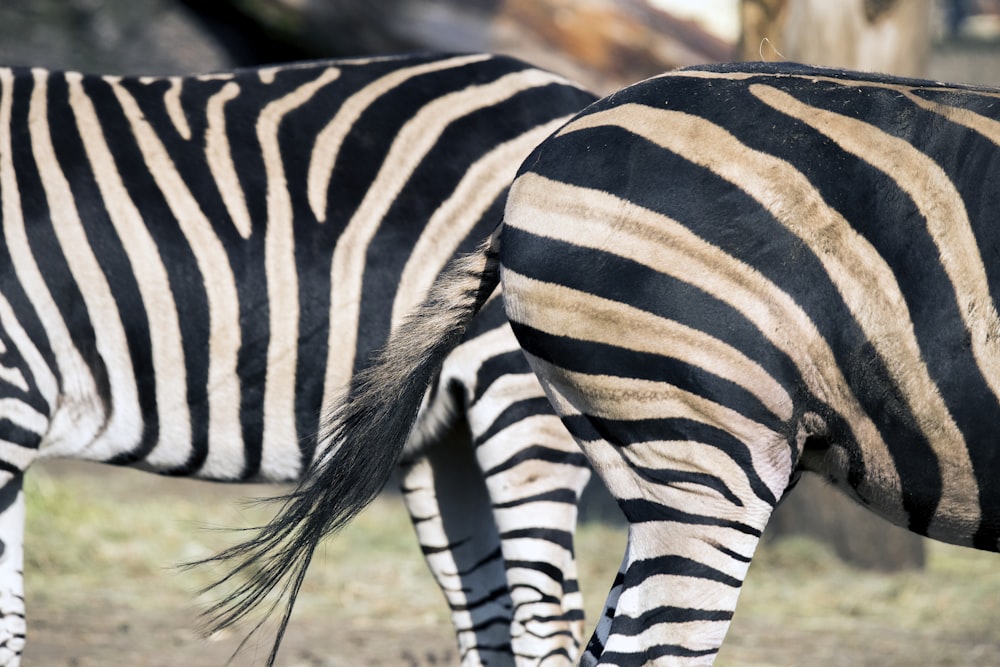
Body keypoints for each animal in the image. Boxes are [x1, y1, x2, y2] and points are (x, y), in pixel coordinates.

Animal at [0, 53, 592, 667]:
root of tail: (583, 98)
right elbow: (10, 623)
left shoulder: (12, 397)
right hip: (445, 435)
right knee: (491, 618)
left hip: (522, 396)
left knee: (547, 620)